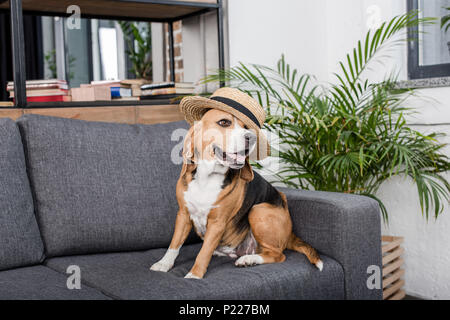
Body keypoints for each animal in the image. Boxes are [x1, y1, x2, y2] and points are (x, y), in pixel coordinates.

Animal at [152, 109, 324, 278]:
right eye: (224, 122)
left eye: (245, 126)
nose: (252, 137)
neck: (207, 178)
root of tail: (290, 234)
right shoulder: (183, 214)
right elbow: (174, 245)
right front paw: (163, 264)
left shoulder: (217, 223)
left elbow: (203, 252)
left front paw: (194, 275)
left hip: (258, 210)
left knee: (277, 255)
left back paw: (249, 259)